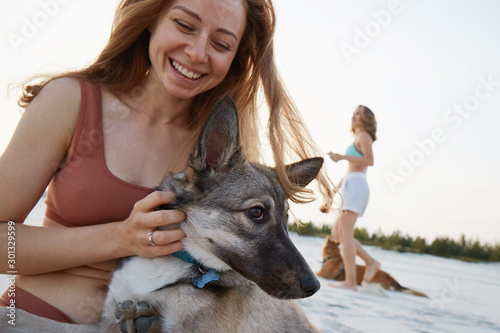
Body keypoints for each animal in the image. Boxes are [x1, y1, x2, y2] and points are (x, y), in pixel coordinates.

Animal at [2, 96, 324, 332]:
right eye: (257, 212)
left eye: (285, 220)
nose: (314, 286)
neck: (176, 261)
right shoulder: (107, 320)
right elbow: (29, 318)